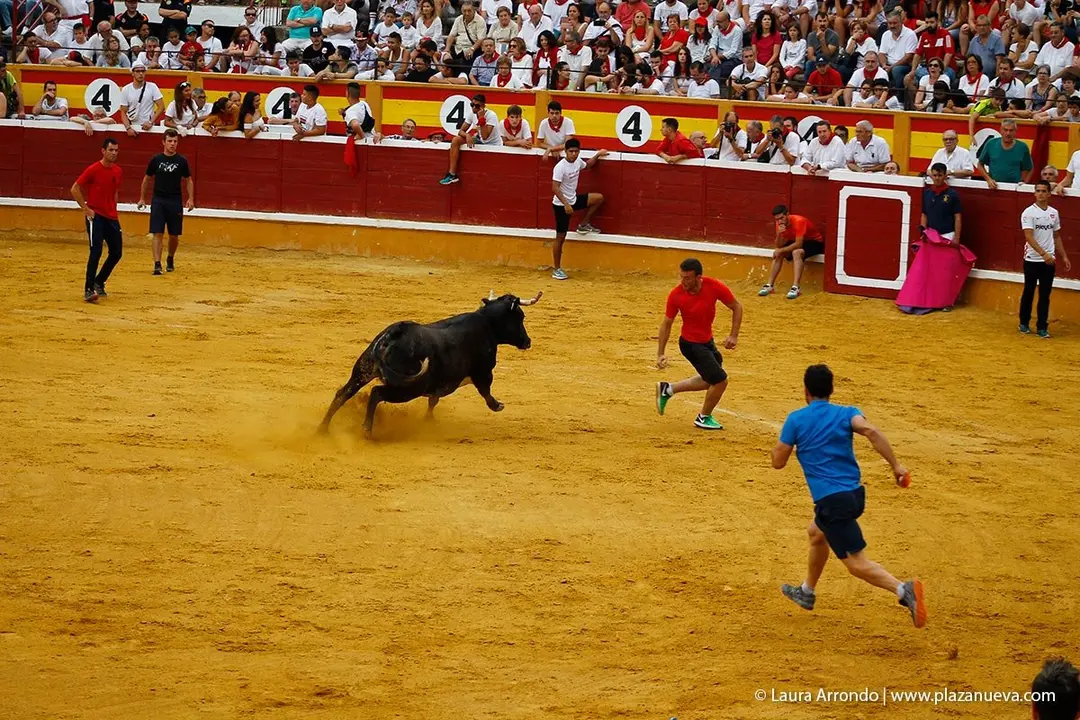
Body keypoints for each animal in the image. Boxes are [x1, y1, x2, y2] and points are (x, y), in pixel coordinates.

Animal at [318, 290, 542, 436]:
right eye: (520, 316)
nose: (528, 341)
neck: (487, 323)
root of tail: (395, 333)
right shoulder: (483, 372)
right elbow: (485, 391)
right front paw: (498, 405)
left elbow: (433, 401)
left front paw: (428, 420)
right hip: (408, 387)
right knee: (376, 393)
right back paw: (366, 430)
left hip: (364, 370)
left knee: (343, 394)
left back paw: (322, 429)